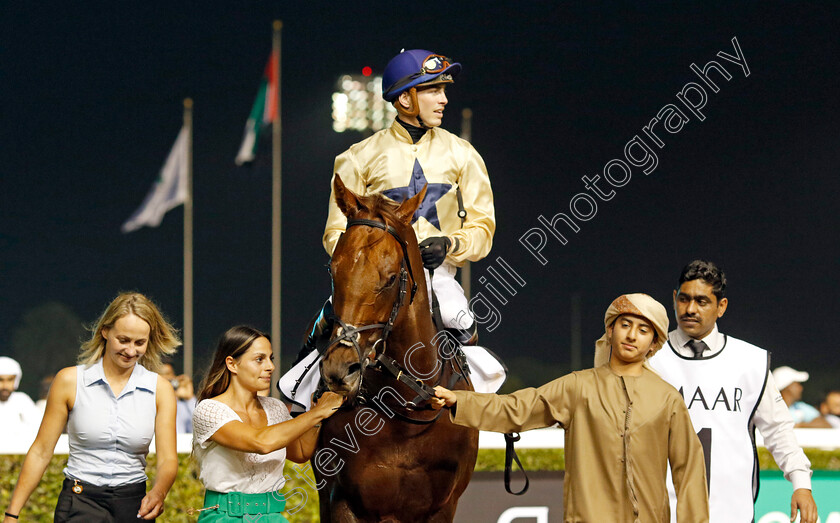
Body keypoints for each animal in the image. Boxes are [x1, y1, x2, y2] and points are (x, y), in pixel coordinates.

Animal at [312, 176, 476, 523]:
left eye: (389, 279)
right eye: (333, 270)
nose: (339, 368)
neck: (404, 411)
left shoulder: (442, 506)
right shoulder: (343, 501)